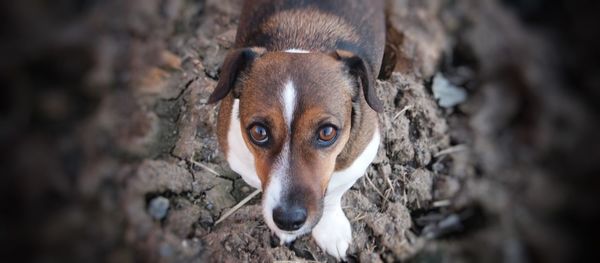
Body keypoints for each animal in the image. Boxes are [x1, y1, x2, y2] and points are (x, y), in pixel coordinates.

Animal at [206, 0, 384, 260]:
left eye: (327, 132)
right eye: (258, 132)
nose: (288, 221)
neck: (302, 41)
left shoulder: (358, 158)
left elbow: (334, 193)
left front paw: (329, 229)